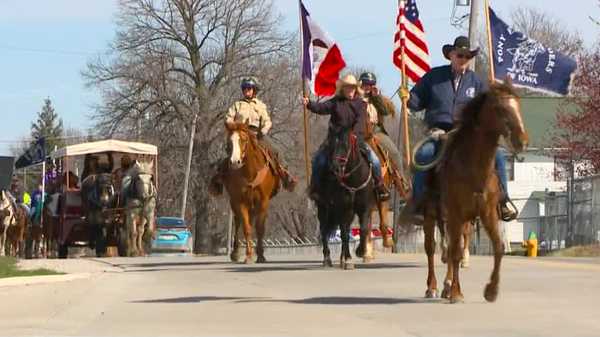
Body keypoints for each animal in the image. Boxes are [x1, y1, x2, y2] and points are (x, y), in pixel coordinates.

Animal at [211, 122, 282, 264]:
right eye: (229, 141)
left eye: (243, 140)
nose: (234, 162)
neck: (250, 173)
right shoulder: (240, 201)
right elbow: (246, 227)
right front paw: (248, 256)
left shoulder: (263, 201)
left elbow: (260, 228)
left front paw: (260, 256)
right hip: (234, 202)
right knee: (238, 221)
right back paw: (235, 253)